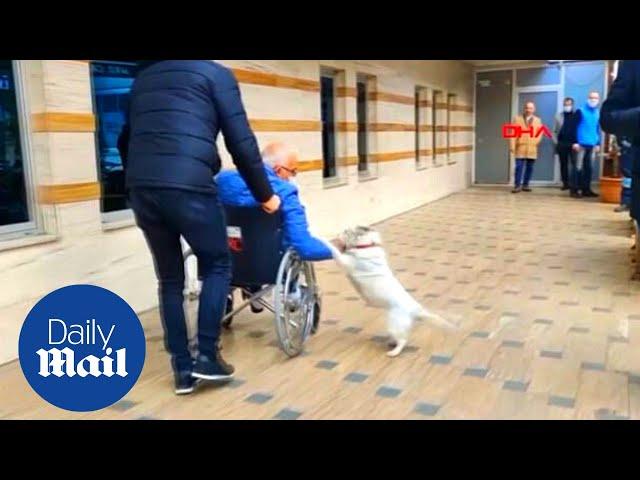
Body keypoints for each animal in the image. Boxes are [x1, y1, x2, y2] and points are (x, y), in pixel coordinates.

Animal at [322, 228, 458, 356]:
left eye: (346, 231)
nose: (339, 233)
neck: (367, 245)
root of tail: (416, 309)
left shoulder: (345, 261)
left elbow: (334, 250)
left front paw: (322, 238)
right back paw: (392, 343)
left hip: (394, 325)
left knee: (403, 341)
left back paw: (394, 352)